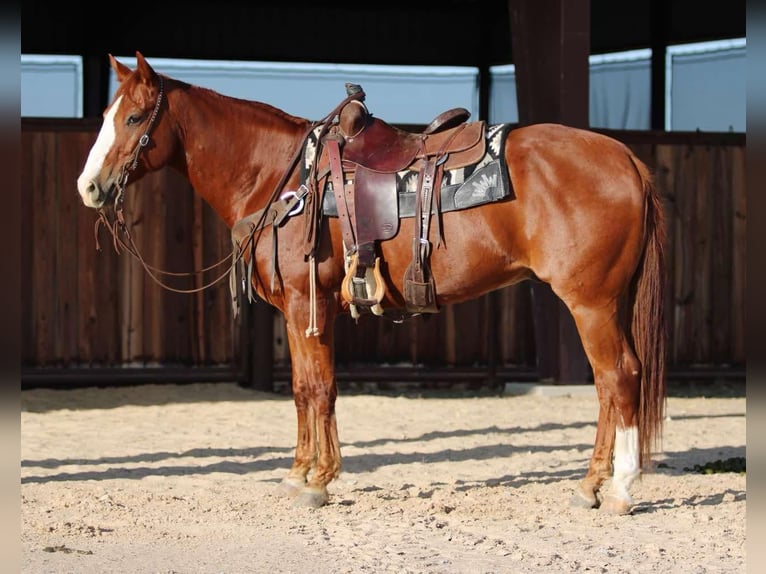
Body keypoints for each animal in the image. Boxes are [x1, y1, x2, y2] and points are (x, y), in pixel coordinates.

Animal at [76, 51, 664, 516]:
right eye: (106, 114)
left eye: (133, 117)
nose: (89, 187)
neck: (281, 178)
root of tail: (625, 159)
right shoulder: (299, 311)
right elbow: (301, 391)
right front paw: (297, 473)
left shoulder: (306, 306)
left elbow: (320, 389)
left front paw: (319, 481)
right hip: (601, 304)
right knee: (610, 386)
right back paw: (591, 485)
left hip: (590, 303)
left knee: (618, 377)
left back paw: (617, 490)